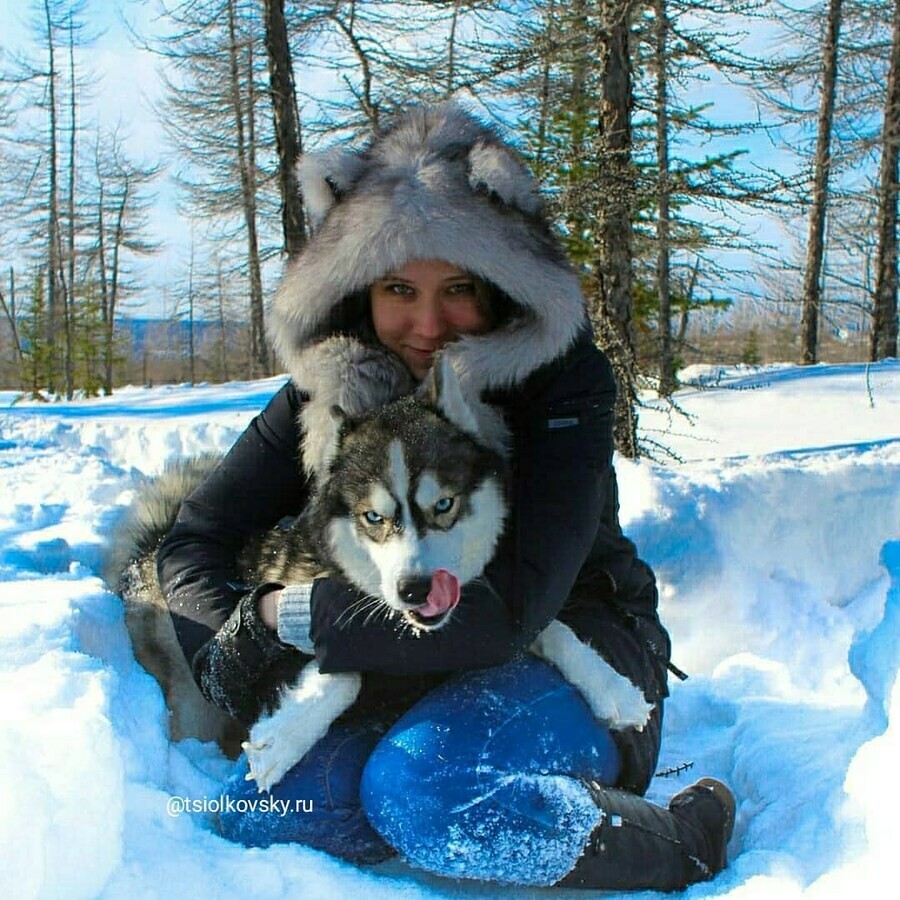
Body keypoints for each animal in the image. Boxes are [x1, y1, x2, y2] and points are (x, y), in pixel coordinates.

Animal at [109, 342, 652, 792]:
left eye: (444, 505)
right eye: (374, 517)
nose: (416, 590)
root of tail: (148, 551)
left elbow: (547, 628)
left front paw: (613, 687)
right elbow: (344, 673)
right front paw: (287, 736)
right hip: (192, 699)